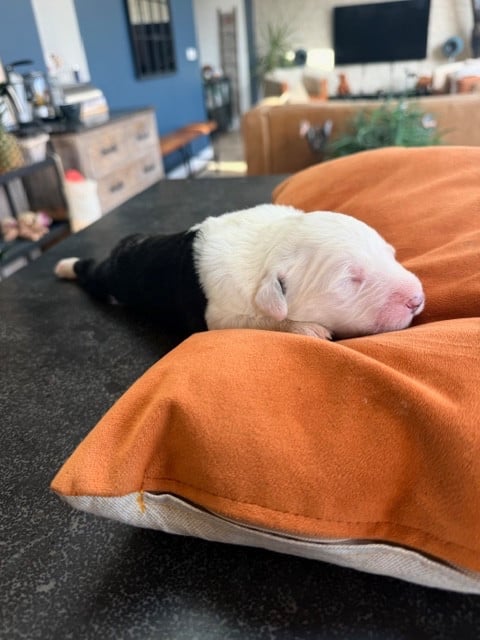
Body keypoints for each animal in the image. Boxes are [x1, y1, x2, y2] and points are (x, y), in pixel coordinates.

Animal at [54, 204, 425, 340]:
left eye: (390, 254)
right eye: (351, 280)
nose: (417, 299)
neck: (270, 246)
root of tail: (128, 242)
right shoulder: (220, 315)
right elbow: (263, 321)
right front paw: (306, 328)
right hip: (114, 278)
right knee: (92, 273)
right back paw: (64, 266)